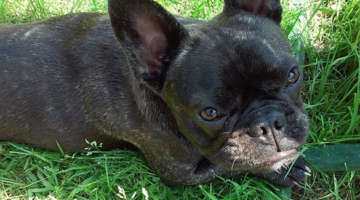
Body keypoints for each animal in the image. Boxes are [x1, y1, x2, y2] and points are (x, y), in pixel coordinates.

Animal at [0, 0, 310, 186]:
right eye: (209, 113)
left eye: (292, 75)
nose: (268, 123)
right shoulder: (181, 173)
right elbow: (235, 164)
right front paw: (284, 169)